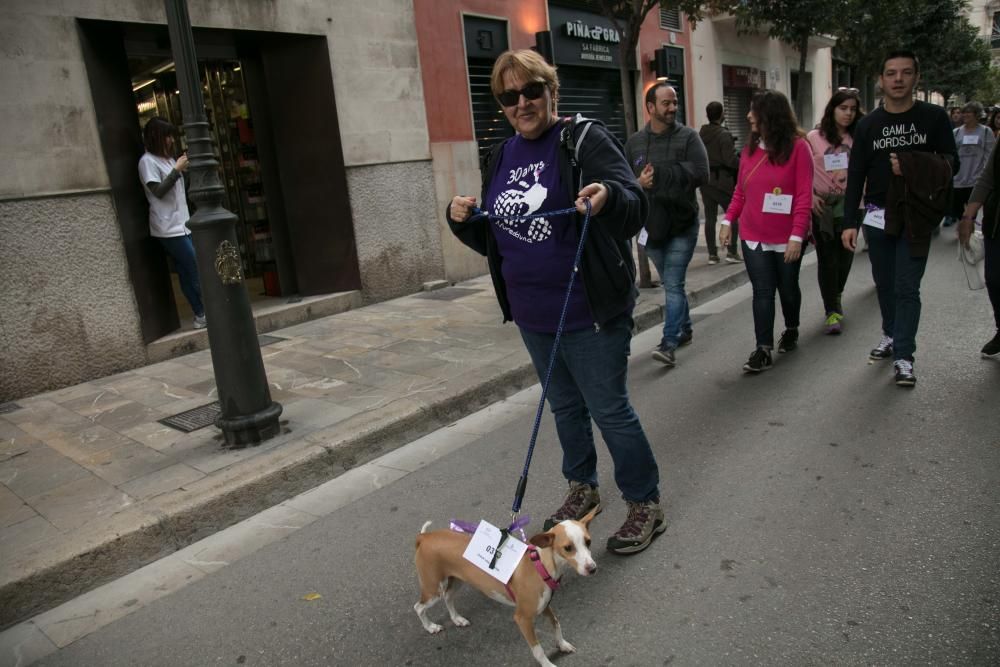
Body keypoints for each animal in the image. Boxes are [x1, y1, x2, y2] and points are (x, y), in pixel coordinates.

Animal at [412, 508, 596, 664]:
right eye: (568, 548)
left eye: (588, 542)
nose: (592, 568)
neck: (541, 565)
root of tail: (425, 537)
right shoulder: (522, 618)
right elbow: (538, 650)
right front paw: (548, 664)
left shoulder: (545, 606)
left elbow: (556, 624)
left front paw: (562, 645)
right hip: (433, 590)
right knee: (419, 607)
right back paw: (430, 627)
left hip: (457, 580)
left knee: (448, 596)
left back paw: (457, 619)